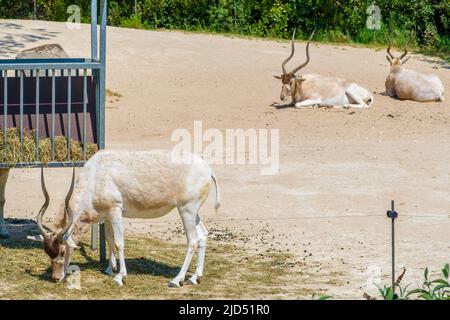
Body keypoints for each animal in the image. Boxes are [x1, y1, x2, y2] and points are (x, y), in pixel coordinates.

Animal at [27, 150, 221, 288]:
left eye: (61, 251)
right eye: (47, 252)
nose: (55, 278)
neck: (96, 175)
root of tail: (208, 170)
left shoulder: (115, 210)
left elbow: (119, 243)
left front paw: (120, 277)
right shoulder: (106, 215)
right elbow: (109, 240)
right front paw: (109, 269)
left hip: (186, 210)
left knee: (193, 240)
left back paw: (176, 280)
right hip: (192, 212)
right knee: (203, 235)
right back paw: (195, 278)